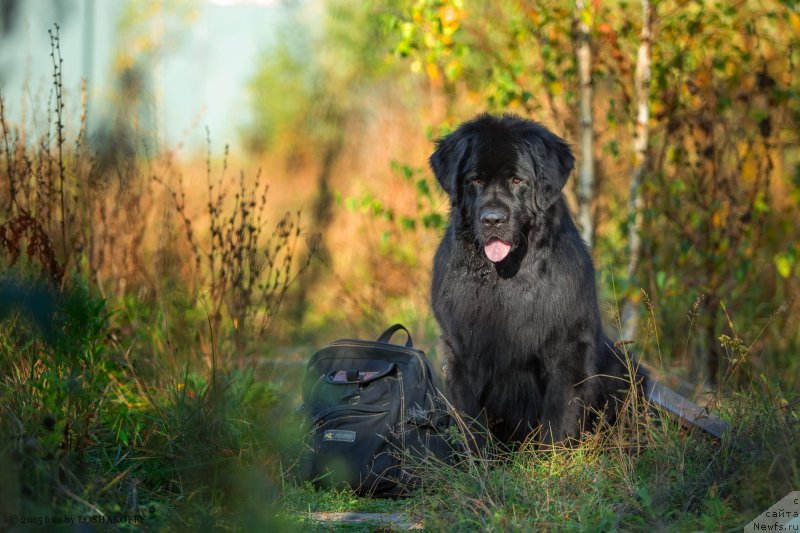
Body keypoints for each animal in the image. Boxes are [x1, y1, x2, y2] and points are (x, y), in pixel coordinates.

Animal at [432, 113, 644, 444]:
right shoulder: (460, 354)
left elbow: (557, 420)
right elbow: (473, 427)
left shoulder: (567, 351)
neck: (506, 279)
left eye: (517, 180)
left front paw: (553, 457)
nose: (492, 219)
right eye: (475, 180)